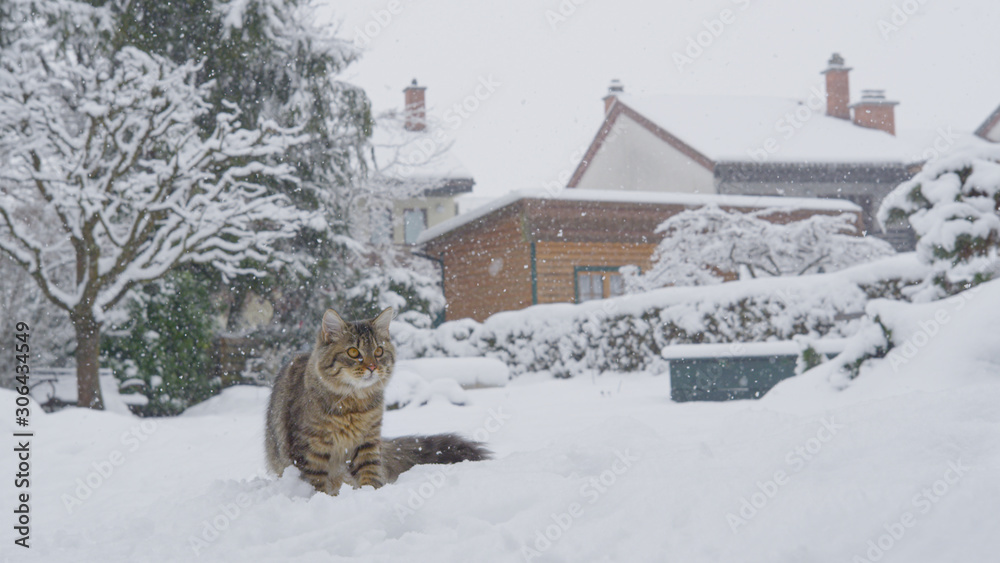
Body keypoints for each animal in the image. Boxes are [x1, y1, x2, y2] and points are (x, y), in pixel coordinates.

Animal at [264, 306, 486, 496]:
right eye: (353, 352)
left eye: (379, 351)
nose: (372, 367)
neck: (353, 405)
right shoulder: (310, 449)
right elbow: (316, 484)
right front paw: (321, 499)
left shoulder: (367, 441)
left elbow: (369, 474)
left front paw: (370, 495)